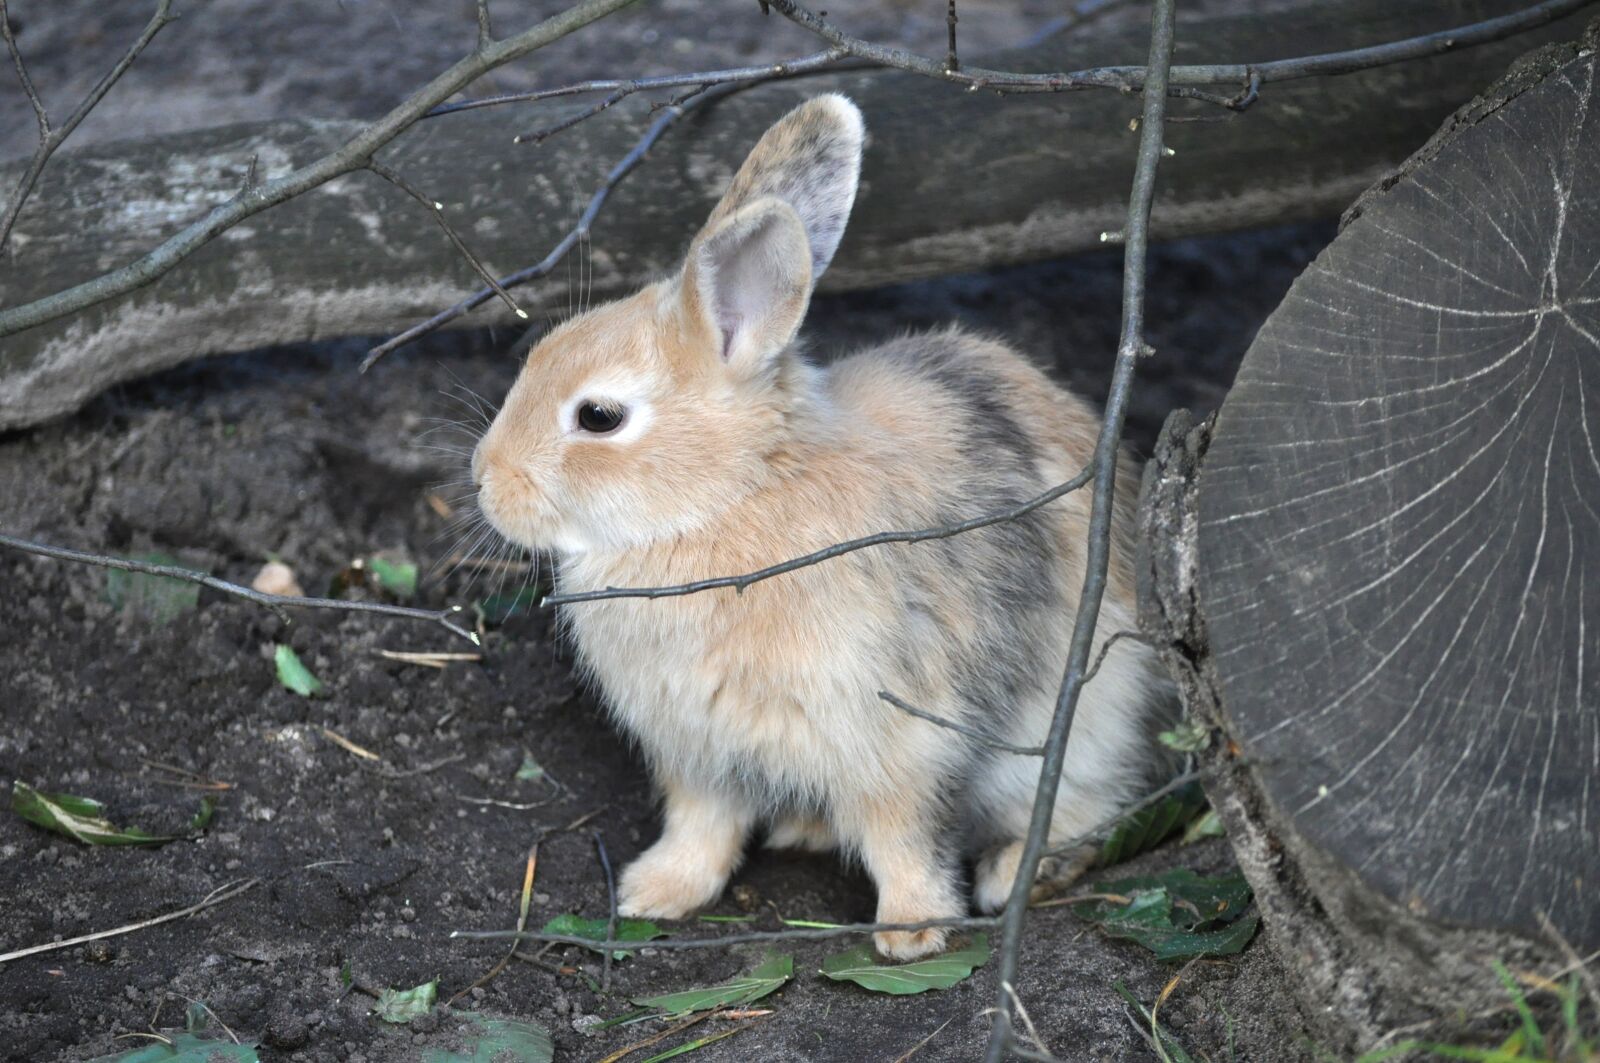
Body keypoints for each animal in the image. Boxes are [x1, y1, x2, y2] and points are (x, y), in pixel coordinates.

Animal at [471, 94, 1174, 960]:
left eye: (598, 417)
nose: (484, 481)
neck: (733, 499)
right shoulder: (698, 750)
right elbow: (702, 825)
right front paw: (654, 892)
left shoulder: (895, 733)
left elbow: (903, 837)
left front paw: (911, 932)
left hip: (1086, 715)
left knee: (1094, 801)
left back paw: (1019, 871)